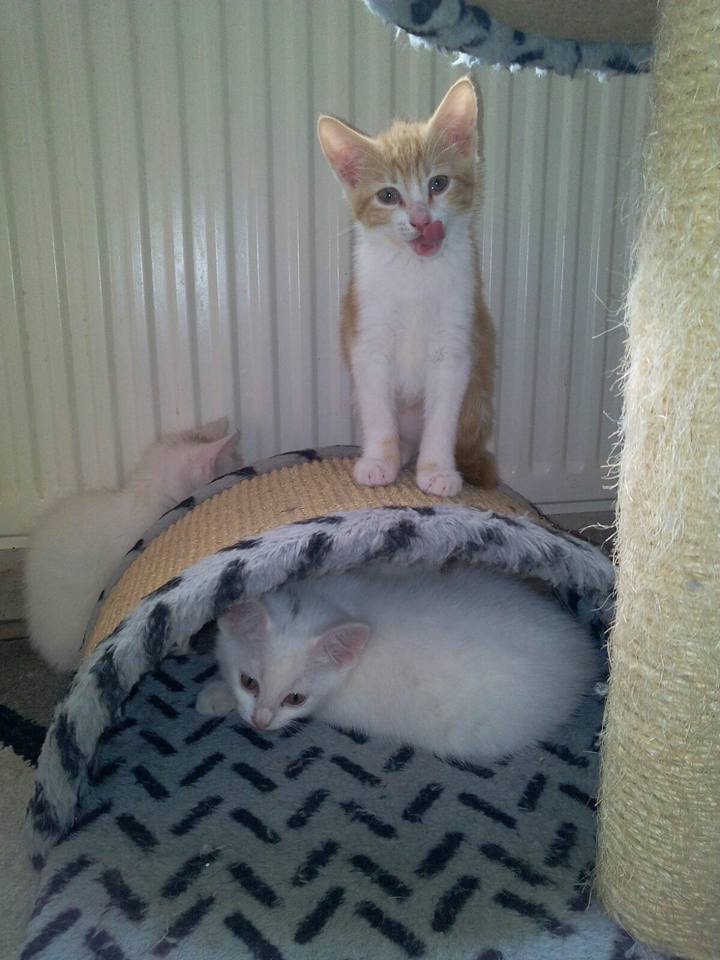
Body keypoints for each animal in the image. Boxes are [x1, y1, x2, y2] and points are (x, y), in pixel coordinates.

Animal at [196, 564, 597, 762]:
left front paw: (214, 697)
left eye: (295, 699)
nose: (260, 723)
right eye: (249, 681)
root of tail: (582, 652)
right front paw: (219, 695)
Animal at [317, 76, 497, 497]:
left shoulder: (455, 343)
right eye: (388, 195)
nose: (420, 220)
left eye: (438, 183)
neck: (416, 271)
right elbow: (378, 411)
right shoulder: (368, 338)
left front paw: (437, 470)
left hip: (477, 394)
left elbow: (443, 416)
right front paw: (380, 460)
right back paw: (398, 452)